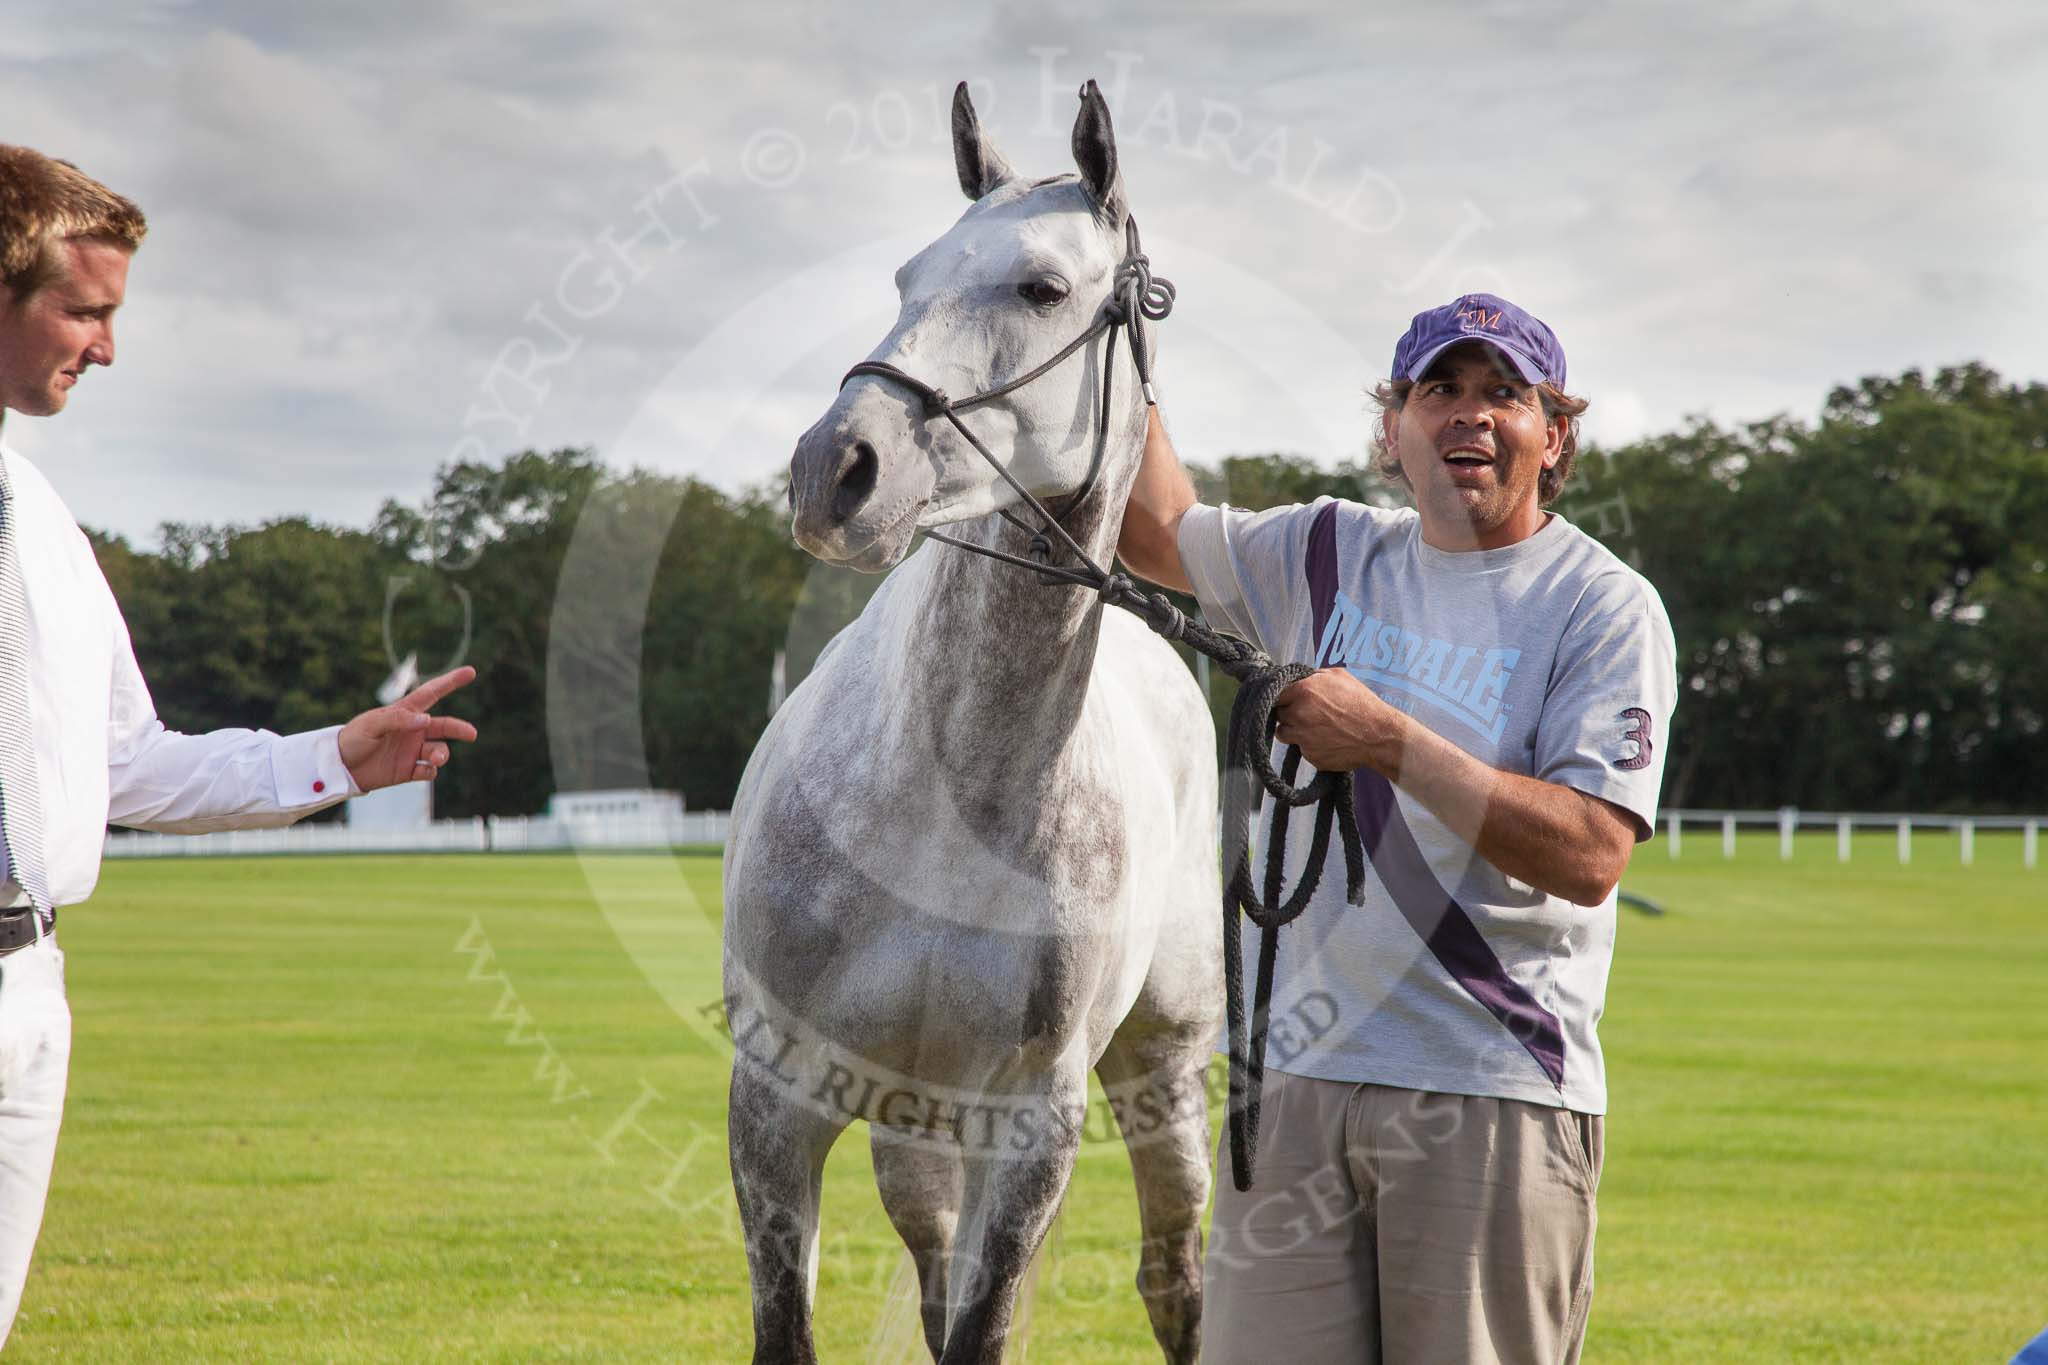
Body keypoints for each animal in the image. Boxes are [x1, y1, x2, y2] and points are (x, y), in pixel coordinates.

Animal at [722, 81, 1221, 1364]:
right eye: (905, 277)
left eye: (1040, 287)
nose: (836, 468)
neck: (947, 790)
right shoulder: (777, 1104)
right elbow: (793, 1327)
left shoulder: (1030, 1127)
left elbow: (982, 1330)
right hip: (914, 1125)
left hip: (1157, 1073)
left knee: (1174, 1278)